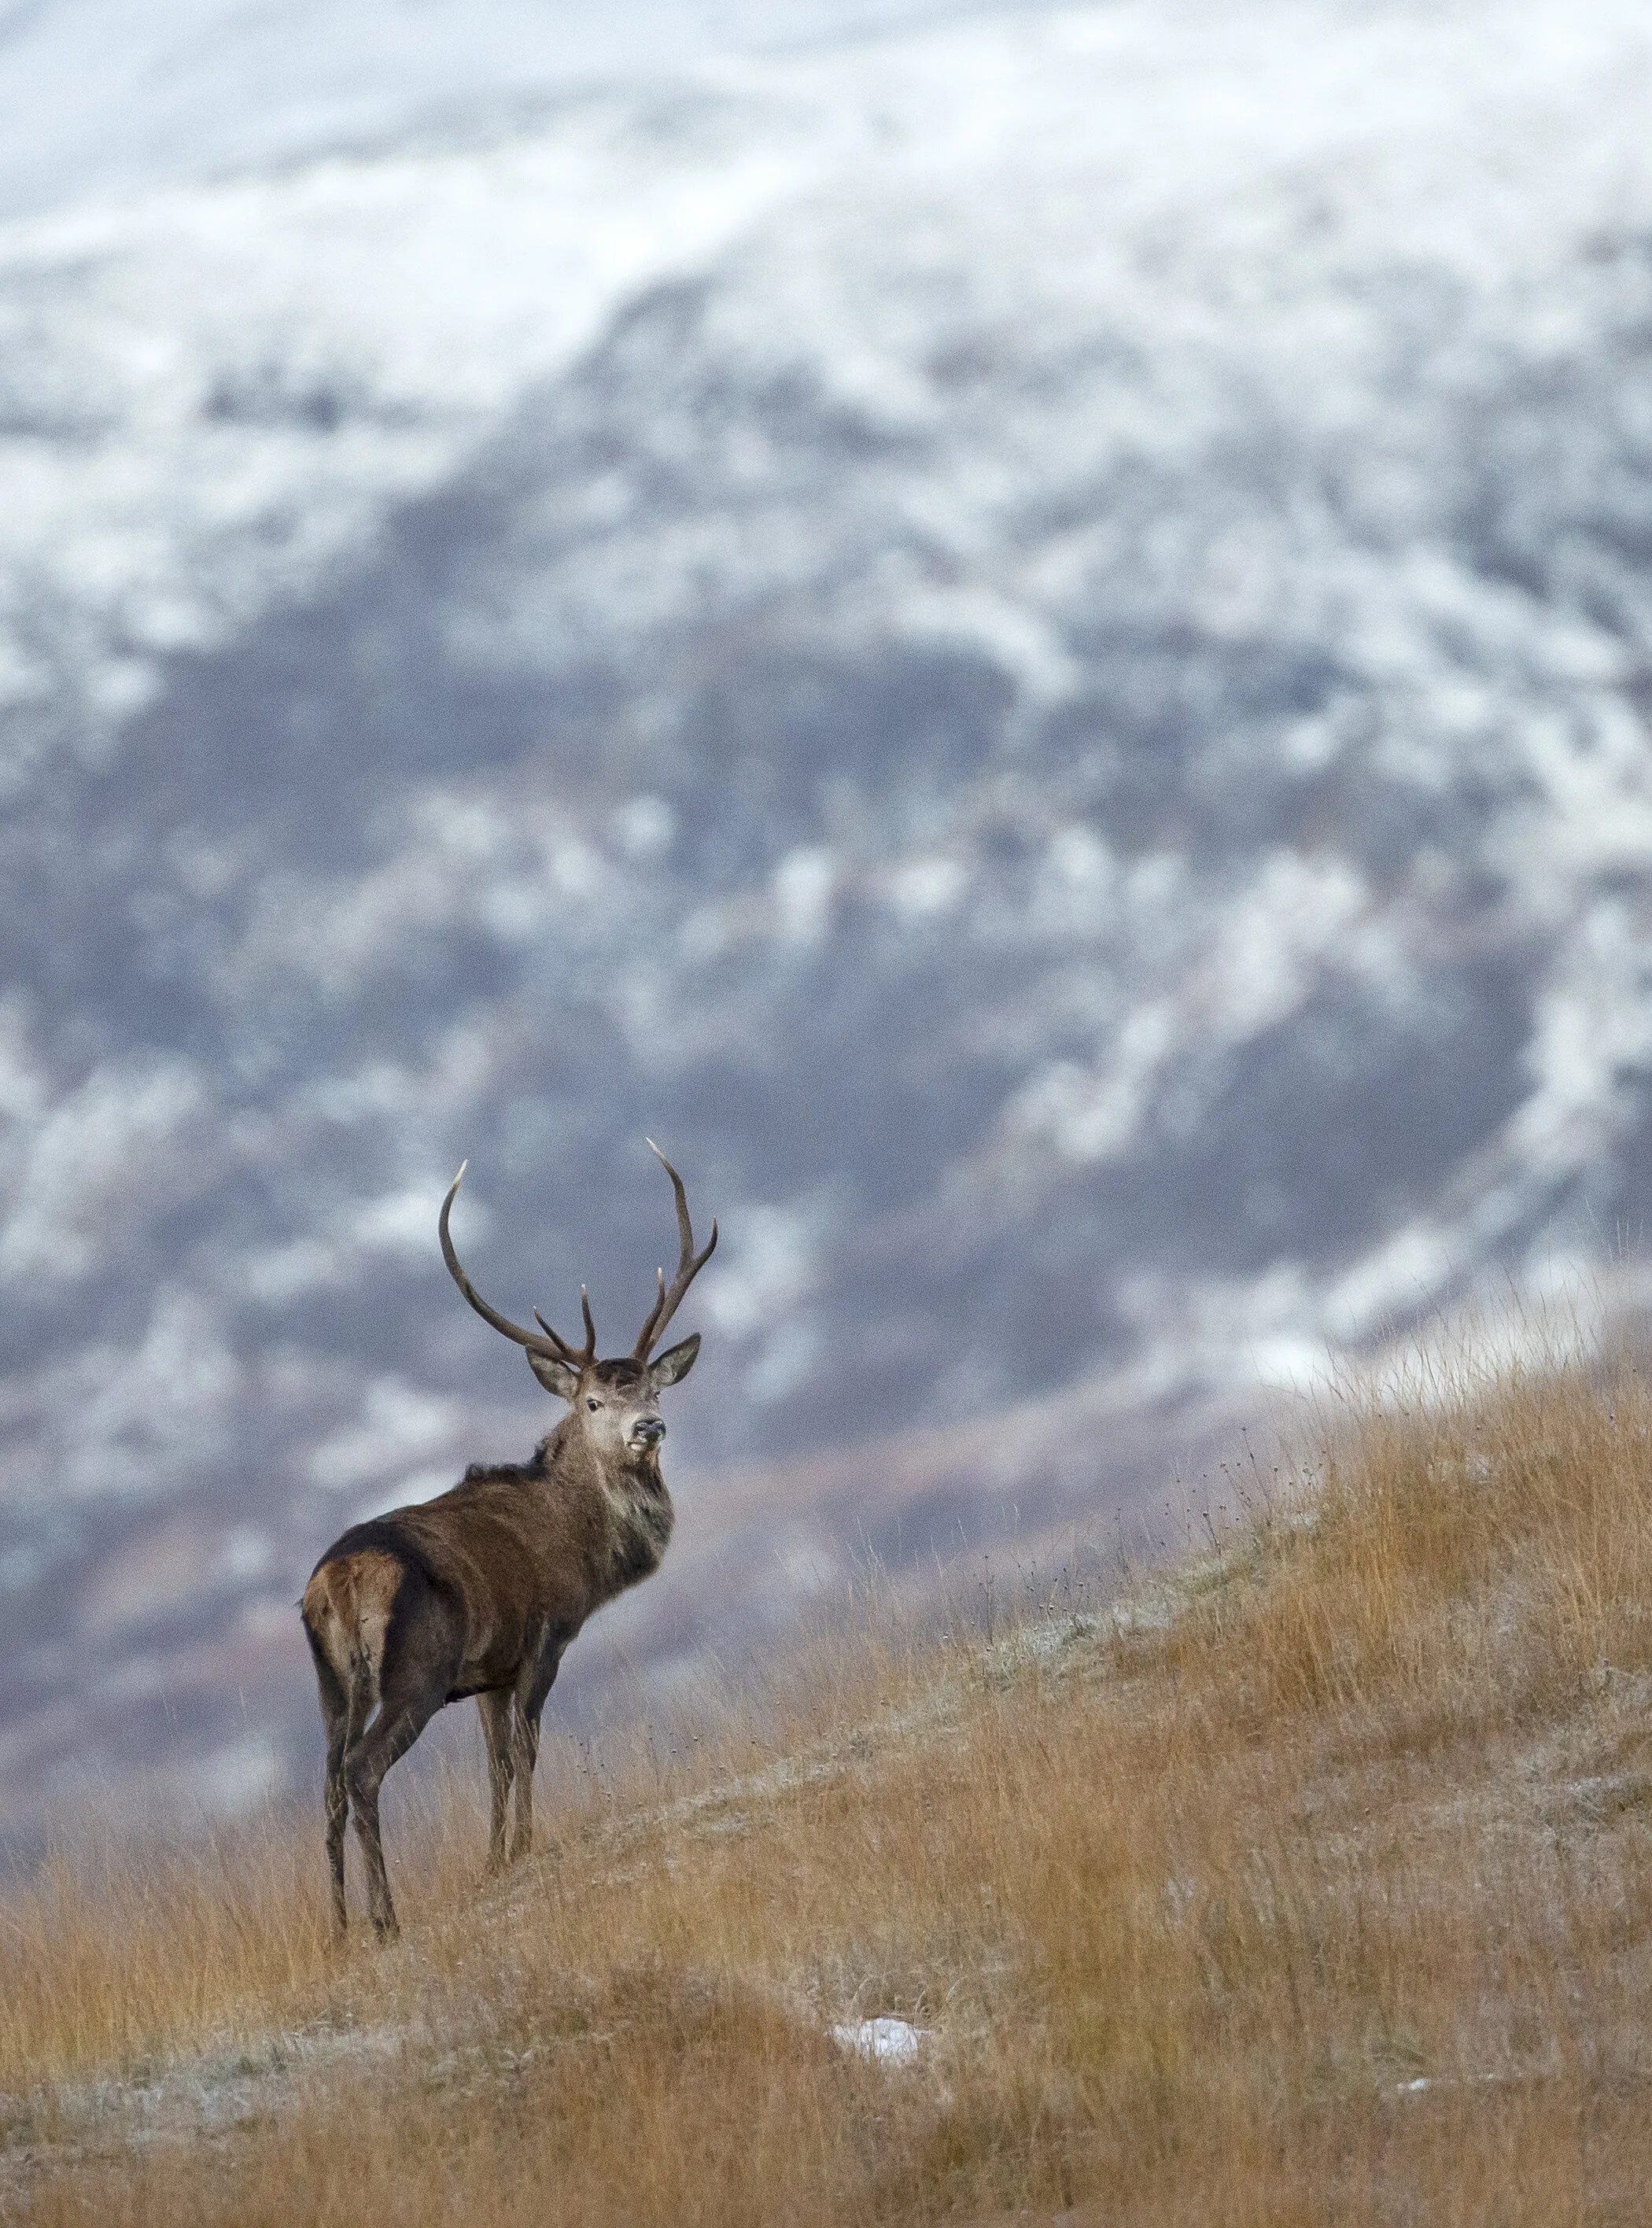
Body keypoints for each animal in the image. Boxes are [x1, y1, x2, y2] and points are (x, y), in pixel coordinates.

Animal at [301, 1142, 716, 1940]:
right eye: (594, 1401)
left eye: (655, 1390)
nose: (650, 1428)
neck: (584, 1552)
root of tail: (339, 1580)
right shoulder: (543, 1637)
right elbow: (525, 1747)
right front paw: (524, 1845)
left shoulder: (488, 1671)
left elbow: (493, 1759)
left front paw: (496, 1859)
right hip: (416, 1670)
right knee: (363, 1771)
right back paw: (384, 1919)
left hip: (331, 1684)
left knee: (329, 1781)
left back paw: (336, 1931)